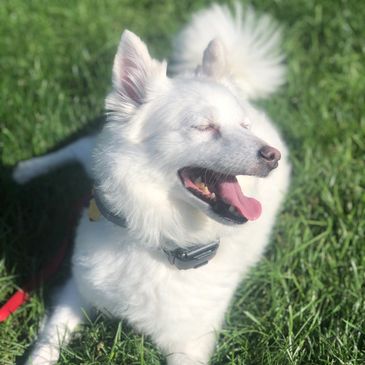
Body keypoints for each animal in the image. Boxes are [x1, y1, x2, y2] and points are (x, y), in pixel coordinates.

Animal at [15, 3, 290, 364]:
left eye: (245, 127)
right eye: (204, 127)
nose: (272, 156)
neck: (158, 238)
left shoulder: (189, 346)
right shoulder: (76, 290)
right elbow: (48, 342)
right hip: (92, 156)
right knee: (79, 148)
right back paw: (25, 169)